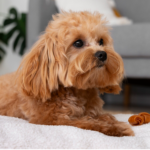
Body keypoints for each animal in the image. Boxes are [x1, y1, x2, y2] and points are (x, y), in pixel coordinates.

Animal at [0, 11, 134, 136]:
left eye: (101, 41)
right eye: (78, 43)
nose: (102, 54)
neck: (78, 92)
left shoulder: (94, 111)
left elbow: (105, 115)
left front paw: (113, 121)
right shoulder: (52, 119)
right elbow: (85, 122)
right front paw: (115, 128)